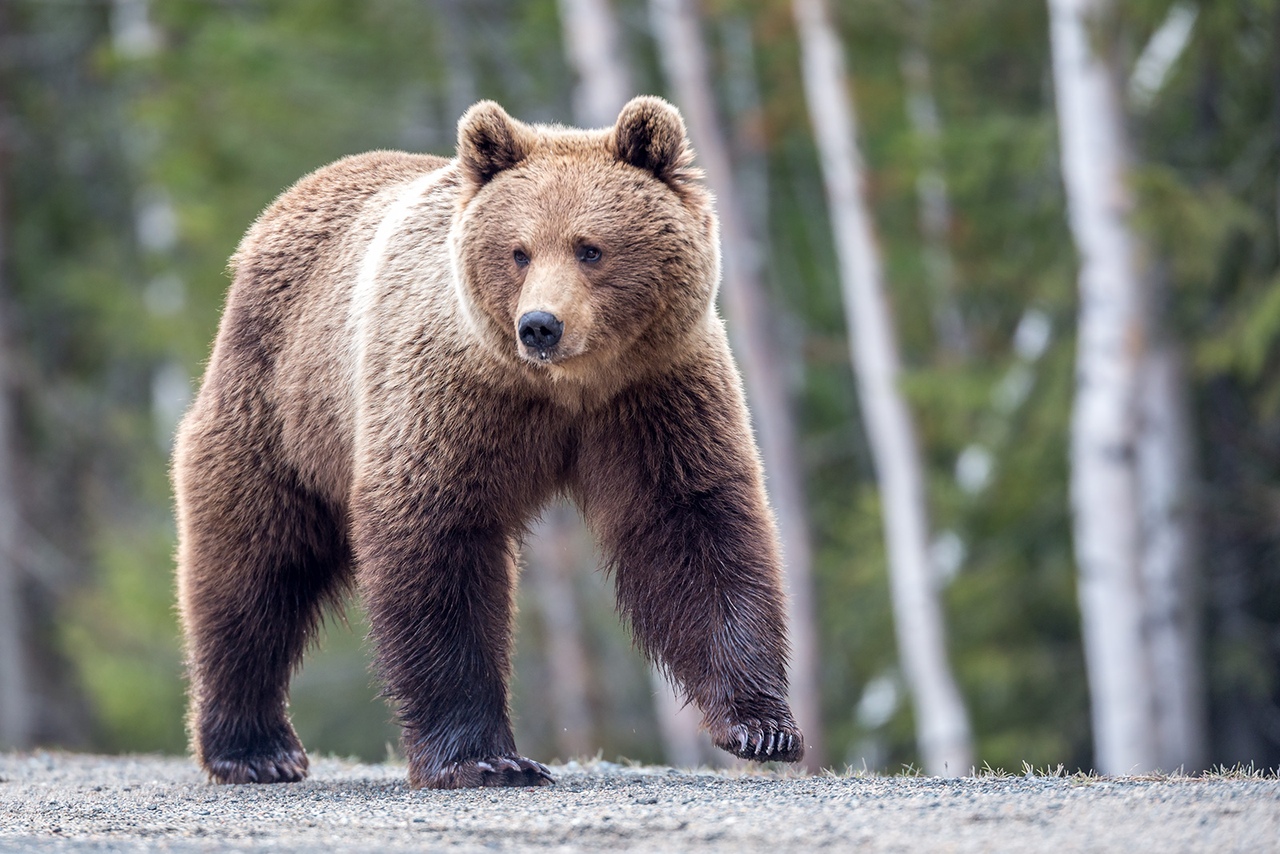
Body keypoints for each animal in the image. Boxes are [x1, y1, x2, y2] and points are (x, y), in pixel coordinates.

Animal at [175, 93, 803, 788]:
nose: (540, 325)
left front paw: (762, 726)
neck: (566, 387)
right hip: (283, 406)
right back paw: (255, 748)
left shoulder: (653, 393)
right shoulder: (451, 395)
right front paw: (484, 757)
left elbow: (693, 523)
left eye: (590, 248)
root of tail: (284, 204)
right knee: (254, 563)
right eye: (519, 251)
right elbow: (437, 540)